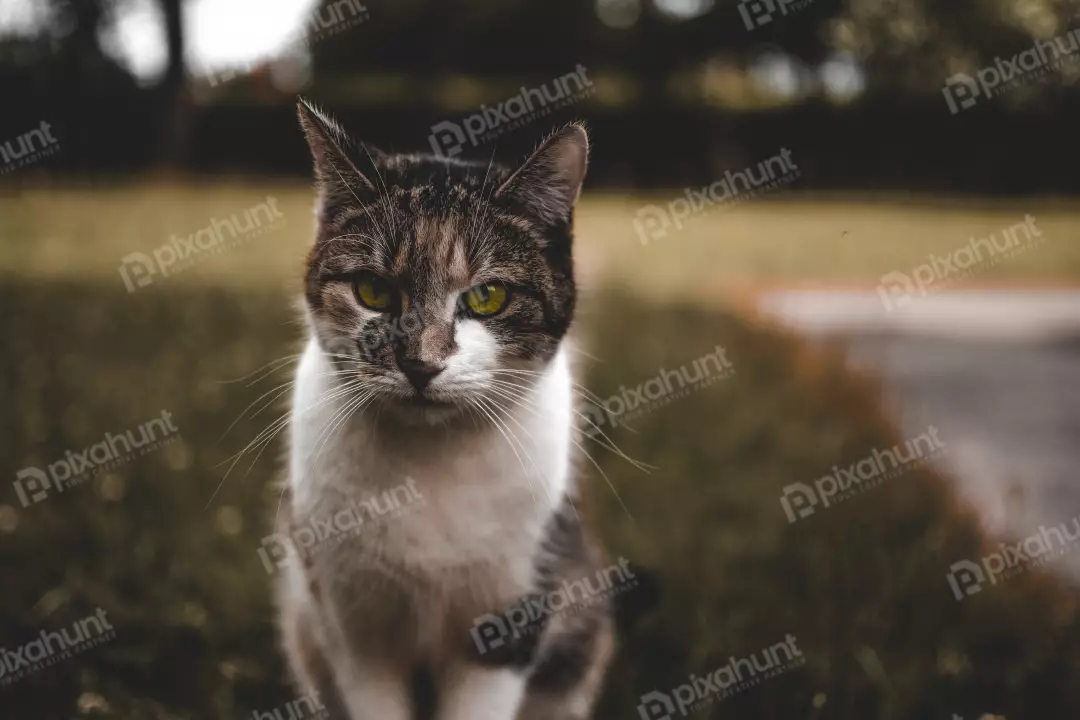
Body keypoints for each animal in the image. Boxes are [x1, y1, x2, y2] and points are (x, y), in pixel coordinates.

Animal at [276, 97, 617, 720]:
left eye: (487, 297)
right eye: (373, 291)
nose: (420, 363)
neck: (430, 463)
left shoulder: (508, 622)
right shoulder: (355, 631)